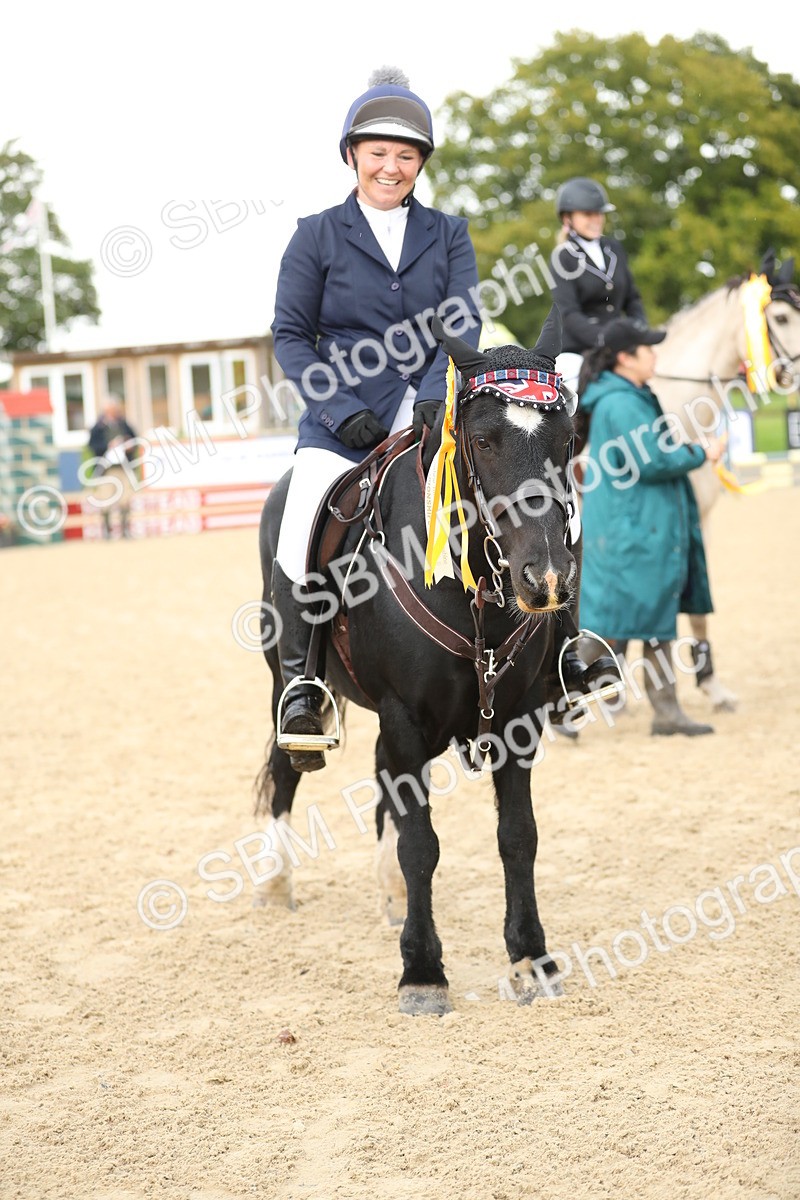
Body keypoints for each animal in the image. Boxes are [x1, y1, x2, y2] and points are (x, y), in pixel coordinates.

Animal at [255, 309, 582, 1015]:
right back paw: (275, 882)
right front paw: (423, 971)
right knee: (286, 769)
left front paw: (530, 958)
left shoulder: (517, 721)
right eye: (483, 440)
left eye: (567, 438)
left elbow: (518, 836)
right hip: (286, 685)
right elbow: (420, 843)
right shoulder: (404, 716)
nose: (544, 579)